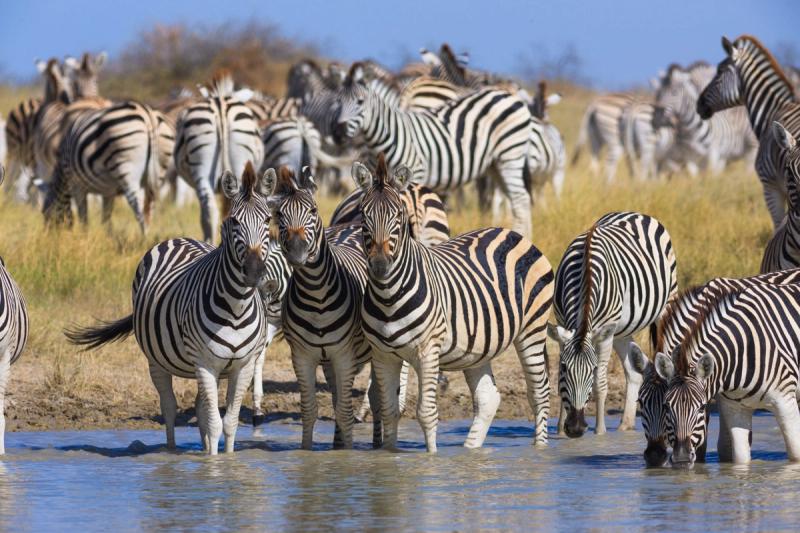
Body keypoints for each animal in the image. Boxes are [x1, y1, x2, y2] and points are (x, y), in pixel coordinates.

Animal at [42, 101, 175, 233]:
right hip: (159, 170)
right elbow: (105, 219)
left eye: (46, 215)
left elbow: (84, 217)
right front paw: (106, 236)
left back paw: (143, 238)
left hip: (126, 166)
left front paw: (84, 236)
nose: (48, 235)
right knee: (149, 210)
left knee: (139, 211)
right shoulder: (108, 191)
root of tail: (147, 114)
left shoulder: (77, 185)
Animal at [66, 163, 274, 454]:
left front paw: (226, 461)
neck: (236, 306)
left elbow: (229, 423)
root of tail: (178, 238)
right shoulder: (205, 363)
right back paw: (172, 452)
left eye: (268, 220)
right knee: (169, 407)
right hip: (156, 360)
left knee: (199, 408)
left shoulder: (242, 366)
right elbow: (215, 424)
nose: (254, 271)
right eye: (234, 221)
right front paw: (213, 464)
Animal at [332, 62, 535, 238]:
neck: (391, 134)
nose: (338, 134)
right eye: (338, 102)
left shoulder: (414, 172)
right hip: (495, 164)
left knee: (520, 199)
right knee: (517, 199)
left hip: (510, 154)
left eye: (360, 102)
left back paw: (524, 237)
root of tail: (508, 95)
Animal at [353, 153, 554, 452]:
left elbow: (426, 413)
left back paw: (540, 450)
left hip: (533, 329)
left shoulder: (428, 350)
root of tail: (511, 233)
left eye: (398, 215)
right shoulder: (383, 355)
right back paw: (471, 450)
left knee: (539, 393)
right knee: (488, 398)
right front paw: (389, 457)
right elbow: (389, 411)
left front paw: (432, 459)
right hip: (480, 344)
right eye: (364, 216)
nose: (379, 266)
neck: (388, 297)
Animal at [548, 212, 678, 438]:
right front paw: (560, 432)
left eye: (591, 369)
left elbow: (600, 384)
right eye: (564, 367)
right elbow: (558, 384)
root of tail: (635, 213)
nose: (576, 428)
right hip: (621, 331)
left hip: (665, 305)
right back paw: (625, 425)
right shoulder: (562, 322)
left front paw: (599, 433)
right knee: (634, 372)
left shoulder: (604, 334)